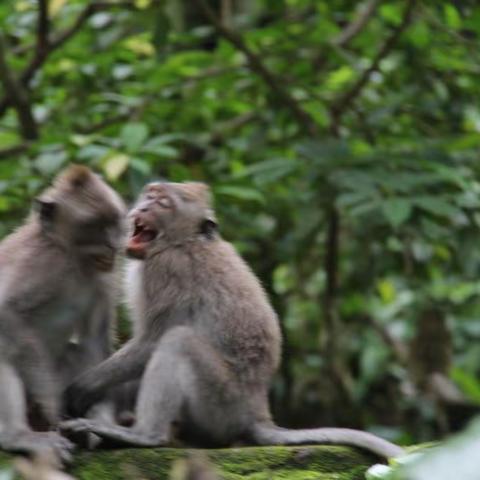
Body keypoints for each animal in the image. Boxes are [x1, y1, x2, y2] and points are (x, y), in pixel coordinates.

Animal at [0, 166, 125, 462]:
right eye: (94, 225)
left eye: (114, 221)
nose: (113, 244)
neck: (72, 257)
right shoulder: (40, 261)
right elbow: (7, 311)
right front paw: (50, 405)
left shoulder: (103, 277)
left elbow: (94, 341)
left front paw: (99, 426)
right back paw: (17, 436)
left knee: (76, 353)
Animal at [62, 180, 404, 458]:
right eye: (150, 194)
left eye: (163, 203)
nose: (143, 206)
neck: (182, 241)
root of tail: (256, 411)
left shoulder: (166, 269)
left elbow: (151, 342)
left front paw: (83, 387)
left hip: (220, 402)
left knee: (178, 342)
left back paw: (144, 436)